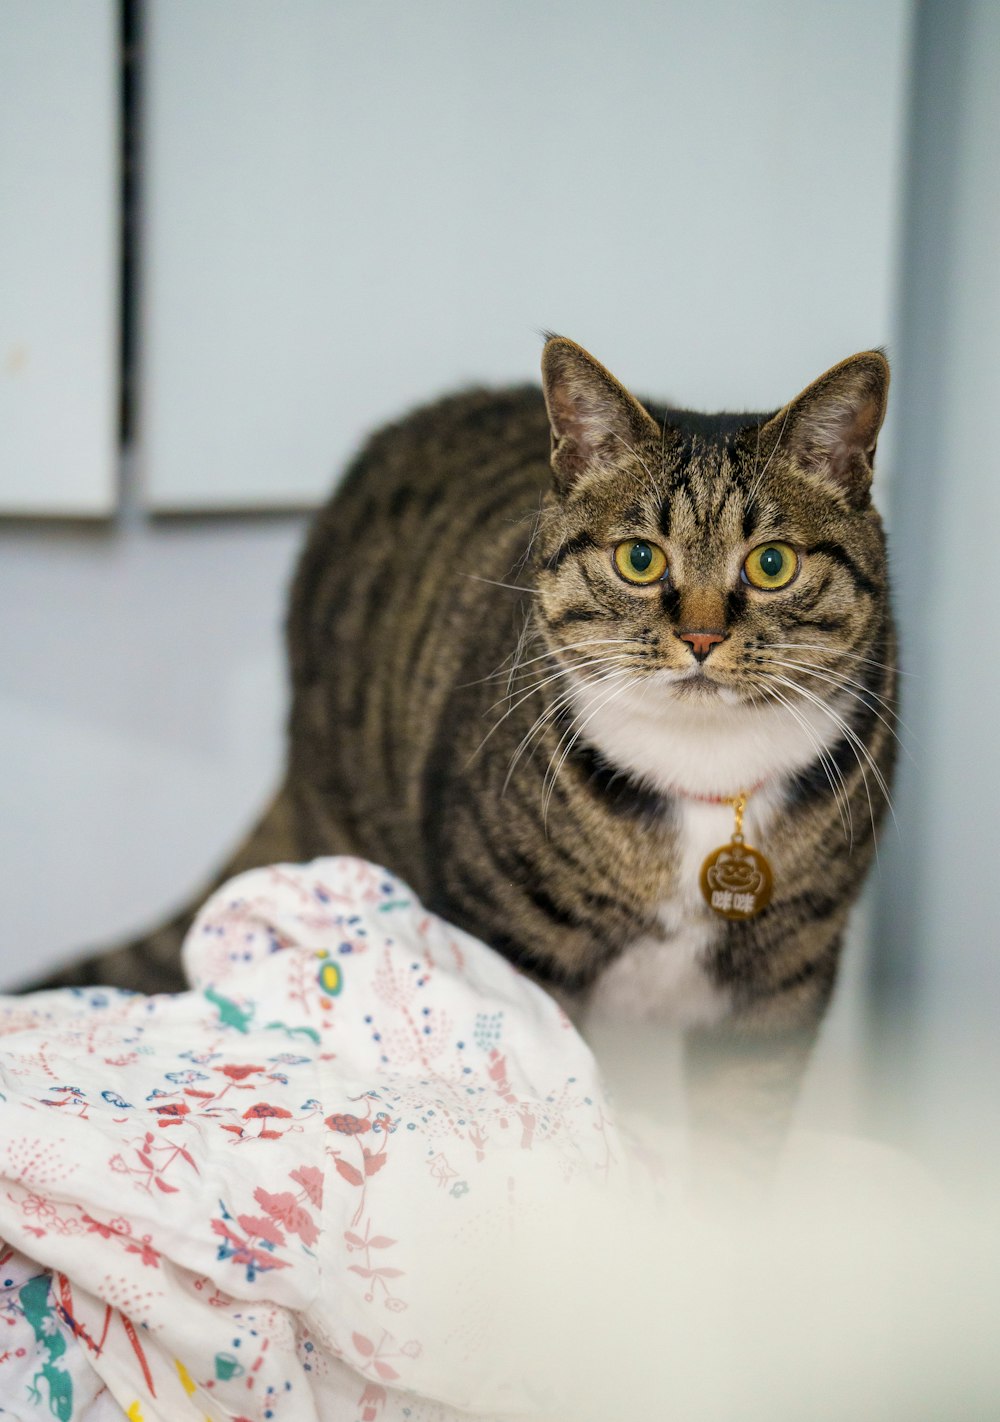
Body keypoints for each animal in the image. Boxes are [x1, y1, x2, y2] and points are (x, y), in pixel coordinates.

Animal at [41, 341, 899, 1154]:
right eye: (639, 557)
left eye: (772, 564)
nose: (701, 636)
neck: (704, 773)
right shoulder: (515, 946)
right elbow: (556, 1085)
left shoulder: (784, 982)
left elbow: (741, 1144)